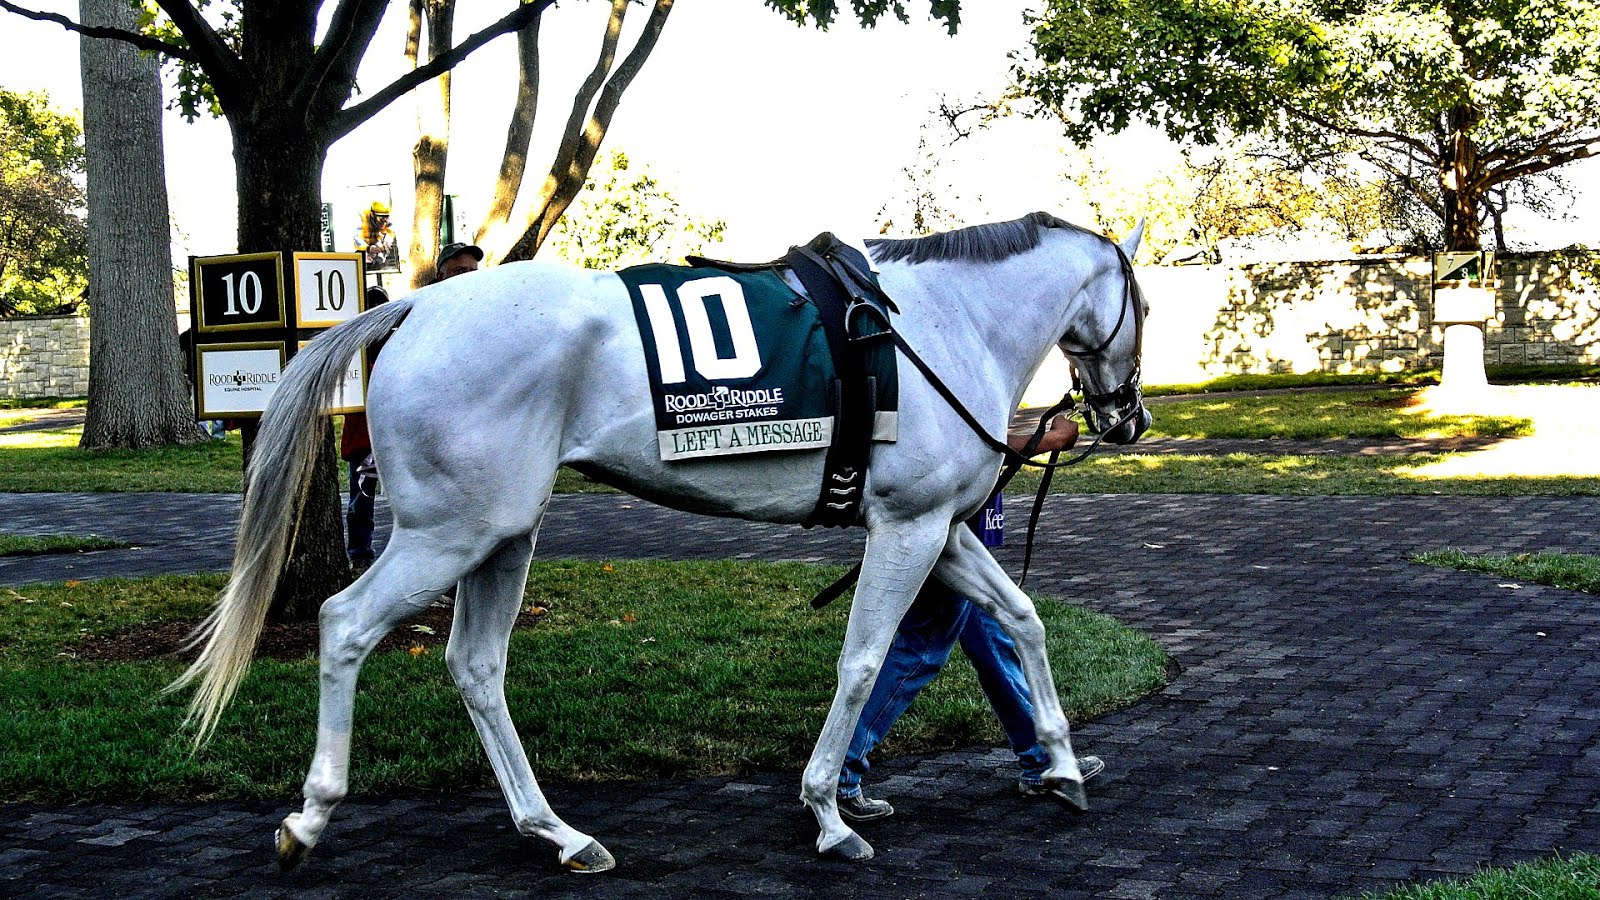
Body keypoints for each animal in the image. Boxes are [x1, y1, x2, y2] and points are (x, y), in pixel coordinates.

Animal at [171, 210, 1150, 872]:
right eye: (1141, 300)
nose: (1129, 418)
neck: (933, 322)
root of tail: (410, 309)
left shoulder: (938, 527)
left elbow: (1021, 618)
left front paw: (1063, 764)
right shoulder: (906, 527)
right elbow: (864, 661)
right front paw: (828, 812)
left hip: (503, 533)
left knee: (476, 665)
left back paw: (557, 832)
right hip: (448, 533)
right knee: (344, 624)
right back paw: (311, 815)